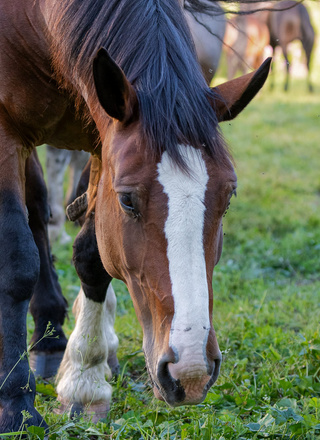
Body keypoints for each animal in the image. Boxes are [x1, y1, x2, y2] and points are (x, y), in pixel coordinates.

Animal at [0, 0, 270, 434]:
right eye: (127, 200)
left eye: (228, 197)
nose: (190, 370)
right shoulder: (7, 130)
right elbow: (17, 259)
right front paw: (17, 406)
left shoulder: (103, 137)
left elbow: (92, 256)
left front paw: (85, 378)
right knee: (37, 212)